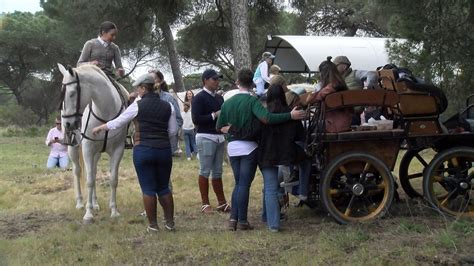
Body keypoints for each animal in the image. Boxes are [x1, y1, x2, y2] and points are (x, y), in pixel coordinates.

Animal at [57, 64, 128, 222]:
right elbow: (89, 180)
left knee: (94, 171)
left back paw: (95, 203)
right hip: (74, 150)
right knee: (77, 172)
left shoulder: (117, 149)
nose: (68, 124)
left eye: (72, 93)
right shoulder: (88, 150)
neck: (105, 114)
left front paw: (114, 211)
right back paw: (80, 203)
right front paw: (88, 214)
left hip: (96, 154)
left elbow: (113, 179)